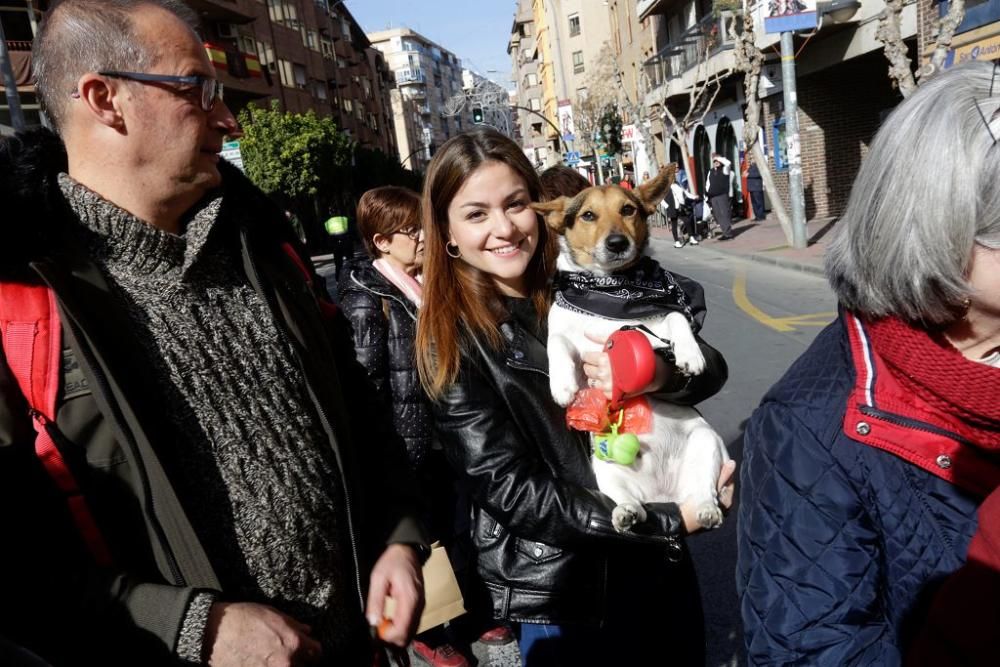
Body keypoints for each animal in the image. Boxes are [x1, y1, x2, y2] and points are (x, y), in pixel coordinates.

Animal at [536, 170, 732, 536]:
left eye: (628, 209)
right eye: (588, 215)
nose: (617, 243)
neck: (608, 290)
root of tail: (664, 495)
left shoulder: (657, 322)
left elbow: (676, 316)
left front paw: (691, 355)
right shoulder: (565, 335)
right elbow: (557, 343)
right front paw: (562, 386)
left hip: (706, 443)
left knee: (703, 491)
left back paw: (707, 510)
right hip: (605, 469)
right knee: (633, 504)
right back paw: (626, 512)